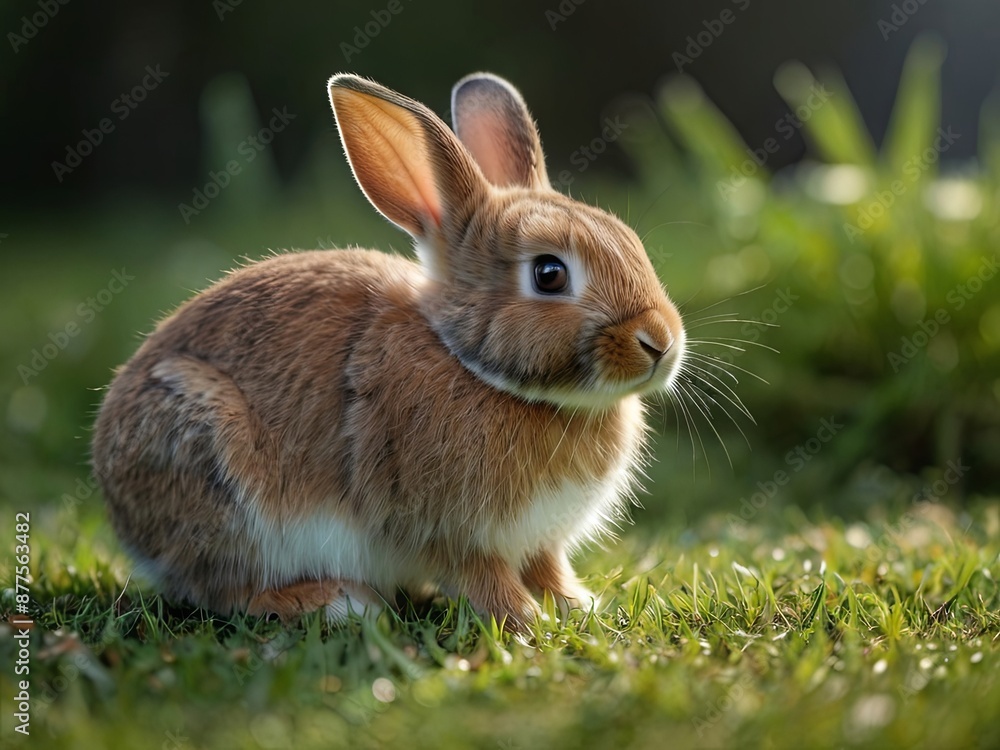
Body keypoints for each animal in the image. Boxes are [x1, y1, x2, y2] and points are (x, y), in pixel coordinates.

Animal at [91, 71, 686, 631]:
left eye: (631, 242)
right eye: (549, 274)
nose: (660, 342)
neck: (470, 364)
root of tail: (122, 516)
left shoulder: (541, 541)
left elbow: (550, 570)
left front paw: (579, 608)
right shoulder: (449, 531)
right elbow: (485, 580)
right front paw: (527, 624)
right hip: (214, 467)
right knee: (223, 588)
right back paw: (335, 603)